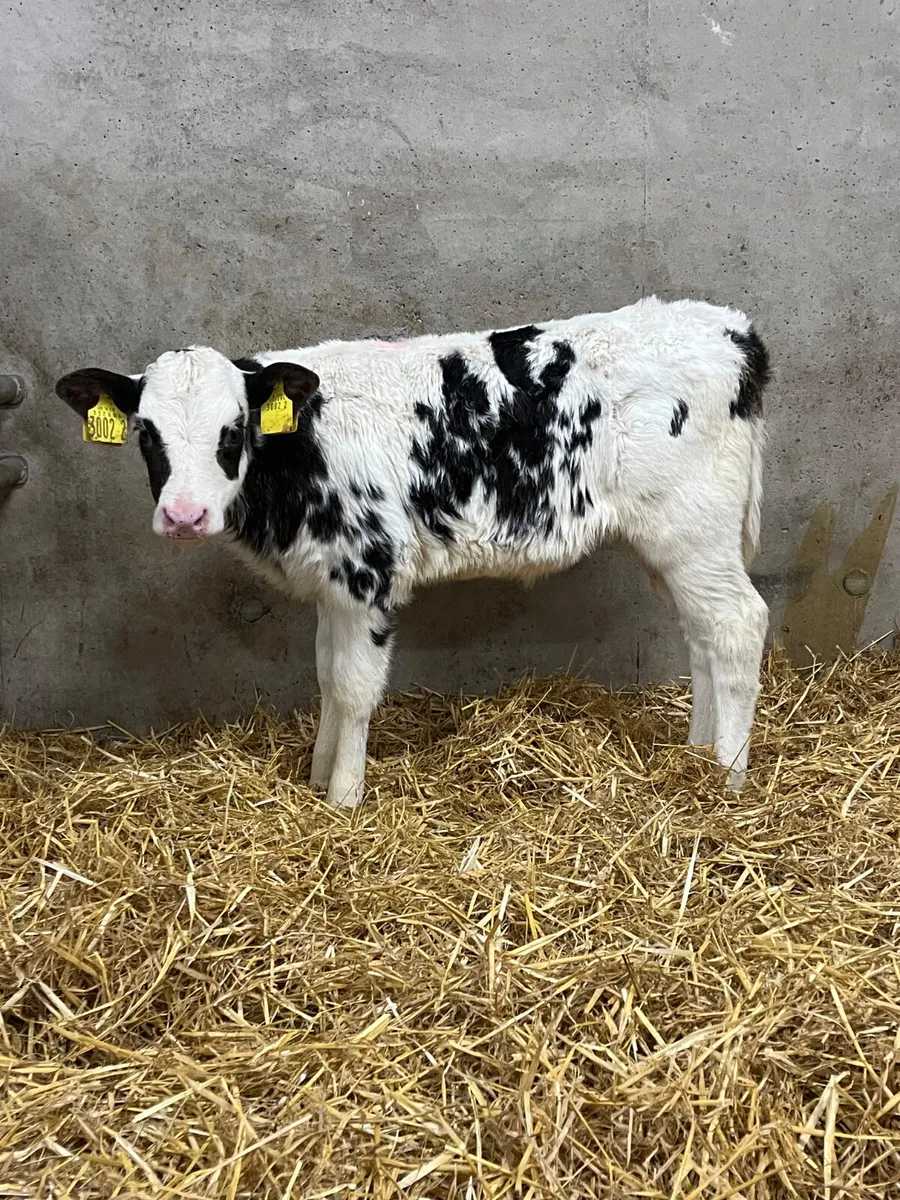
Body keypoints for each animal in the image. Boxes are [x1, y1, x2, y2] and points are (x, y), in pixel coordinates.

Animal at [56, 296, 770, 808]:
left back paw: (726, 780)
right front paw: (317, 777)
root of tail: (728, 327)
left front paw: (343, 800)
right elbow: (325, 675)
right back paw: (696, 758)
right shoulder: (331, 579)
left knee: (737, 625)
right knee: (703, 636)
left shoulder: (367, 572)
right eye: (146, 434)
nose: (184, 515)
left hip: (693, 530)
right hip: (678, 545)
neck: (302, 449)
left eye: (234, 429)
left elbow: (352, 687)